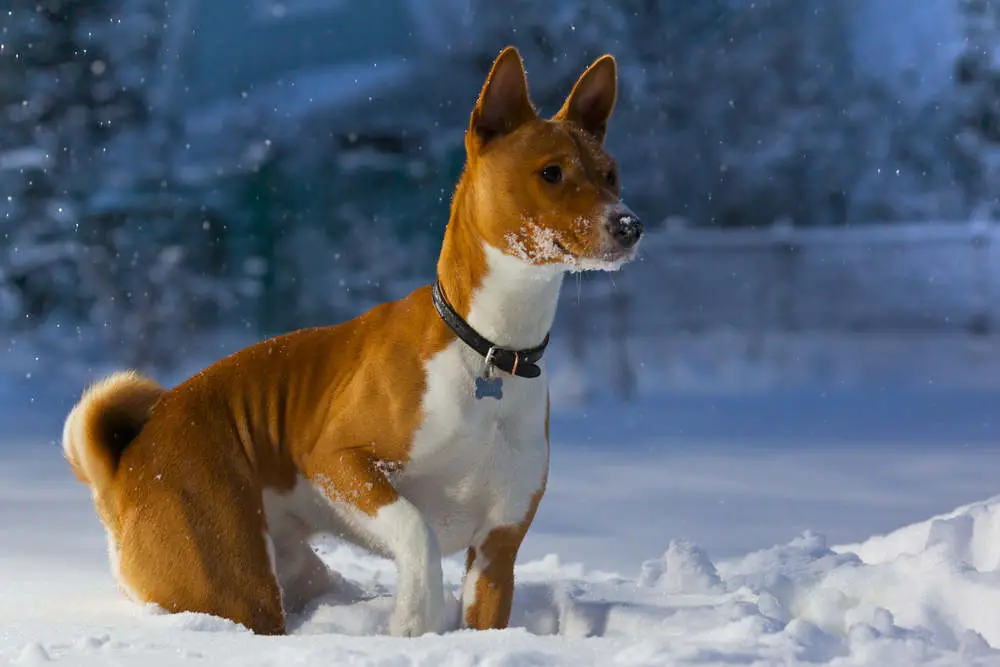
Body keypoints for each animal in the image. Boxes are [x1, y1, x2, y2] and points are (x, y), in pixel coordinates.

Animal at [60, 47, 640, 636]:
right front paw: (414, 617)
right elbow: (418, 532)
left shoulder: (496, 552)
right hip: (234, 579)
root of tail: (126, 463)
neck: (489, 349)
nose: (629, 224)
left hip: (301, 573)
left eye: (611, 175)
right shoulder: (336, 461)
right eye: (552, 172)